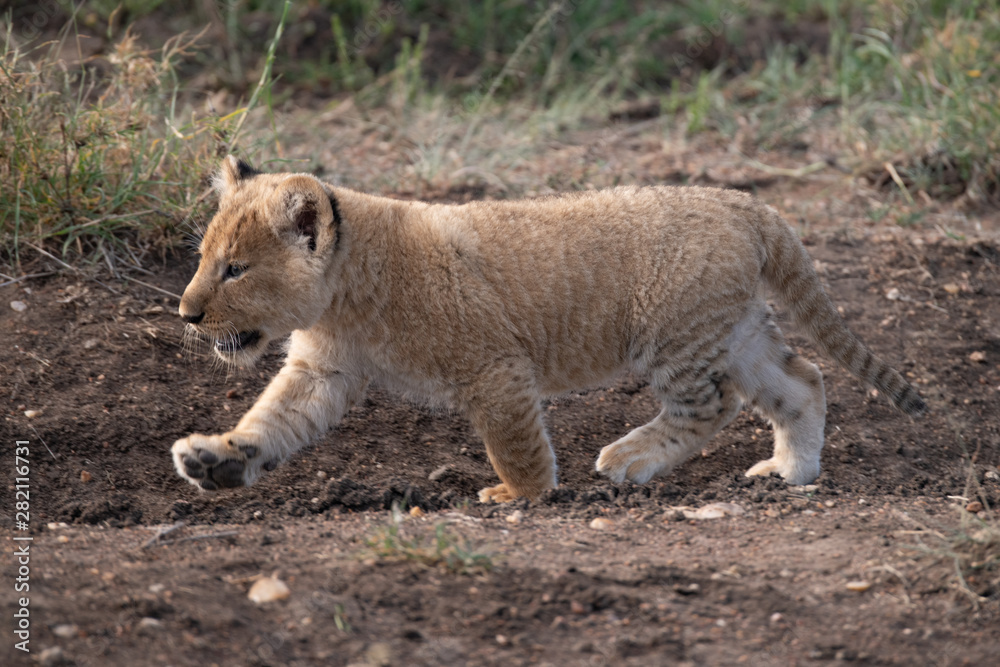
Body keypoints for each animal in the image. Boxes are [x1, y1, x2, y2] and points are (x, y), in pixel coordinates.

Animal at [171, 156, 925, 502]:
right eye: (205, 259)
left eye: (235, 269)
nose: (186, 313)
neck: (346, 296)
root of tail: (744, 203)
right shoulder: (320, 371)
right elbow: (269, 420)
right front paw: (216, 459)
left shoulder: (496, 367)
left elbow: (513, 442)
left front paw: (521, 495)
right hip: (731, 327)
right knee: (801, 380)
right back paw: (791, 472)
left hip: (673, 335)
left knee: (713, 404)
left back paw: (629, 458)